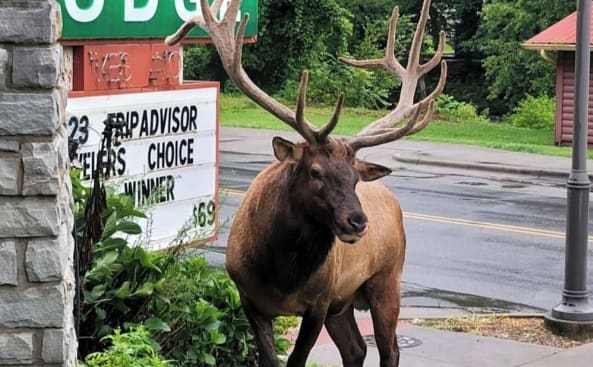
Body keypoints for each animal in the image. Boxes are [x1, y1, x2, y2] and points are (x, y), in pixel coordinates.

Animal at [166, 1, 444, 366]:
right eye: (315, 171)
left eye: (355, 177)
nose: (358, 222)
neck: (281, 273)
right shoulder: (249, 298)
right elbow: (269, 359)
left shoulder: (319, 302)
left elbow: (297, 359)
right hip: (344, 302)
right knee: (356, 348)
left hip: (386, 281)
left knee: (390, 350)